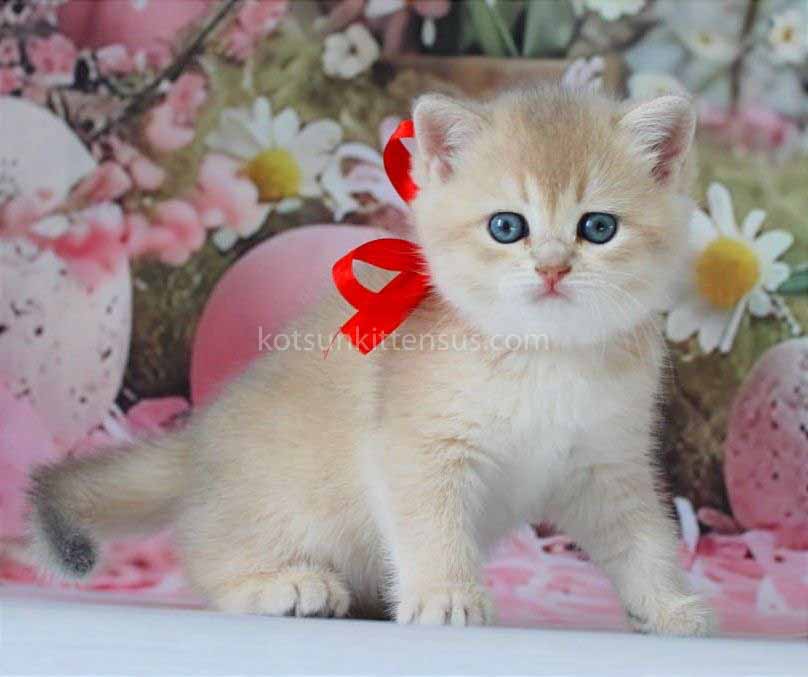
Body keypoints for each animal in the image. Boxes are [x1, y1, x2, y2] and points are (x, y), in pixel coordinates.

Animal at [28, 84, 714, 635]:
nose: (551, 269)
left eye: (598, 228)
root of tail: (193, 442)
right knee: (208, 559)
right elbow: (432, 528)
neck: (541, 357)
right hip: (283, 509)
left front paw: (668, 606)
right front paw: (447, 594)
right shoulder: (420, 452)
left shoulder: (607, 467)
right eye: (506, 227)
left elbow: (645, 540)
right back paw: (284, 585)